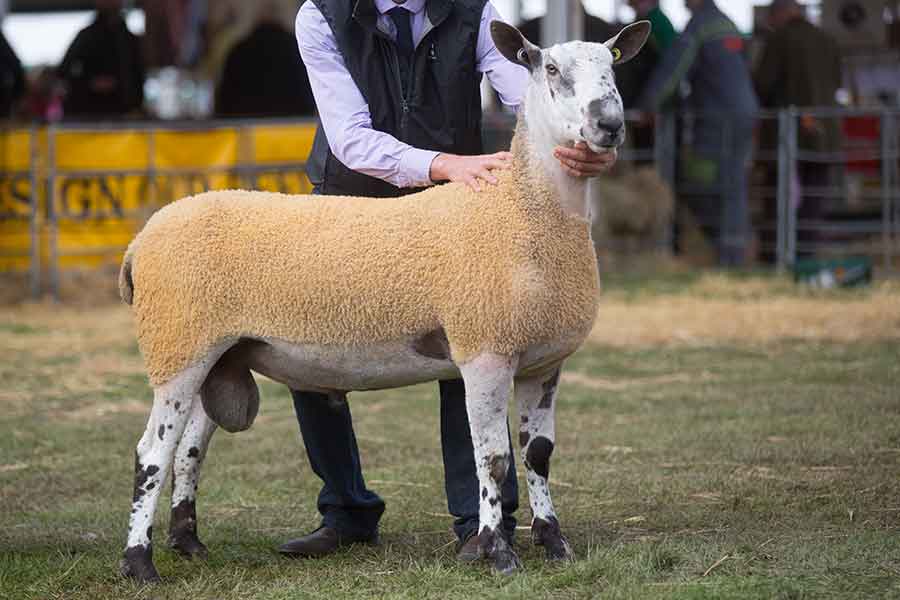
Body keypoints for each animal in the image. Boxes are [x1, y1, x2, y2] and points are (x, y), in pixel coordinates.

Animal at [119, 19, 652, 580]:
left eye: (613, 66)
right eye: (550, 69)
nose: (610, 124)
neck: (520, 207)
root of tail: (141, 240)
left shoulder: (543, 361)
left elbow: (539, 455)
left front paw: (554, 542)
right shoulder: (484, 350)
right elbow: (493, 459)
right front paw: (498, 552)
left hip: (218, 354)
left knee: (188, 449)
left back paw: (188, 543)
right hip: (177, 343)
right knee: (151, 453)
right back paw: (139, 562)